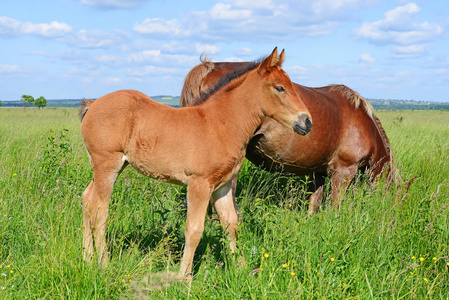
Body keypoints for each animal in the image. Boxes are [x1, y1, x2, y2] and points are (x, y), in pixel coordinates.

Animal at [79, 48, 312, 278]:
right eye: (280, 88)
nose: (307, 122)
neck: (221, 124)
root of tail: (93, 104)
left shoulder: (222, 186)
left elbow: (231, 225)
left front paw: (242, 269)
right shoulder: (199, 184)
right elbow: (194, 229)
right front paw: (184, 277)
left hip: (110, 167)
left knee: (87, 200)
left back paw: (87, 258)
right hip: (107, 165)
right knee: (100, 211)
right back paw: (103, 264)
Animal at [179, 58, 400, 214]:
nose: (388, 212)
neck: (365, 125)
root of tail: (210, 68)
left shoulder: (317, 172)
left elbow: (314, 204)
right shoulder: (344, 172)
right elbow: (335, 207)